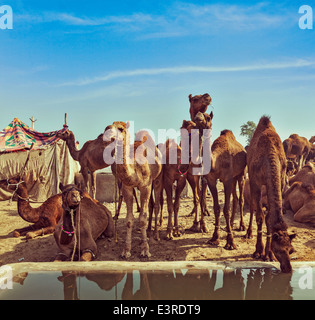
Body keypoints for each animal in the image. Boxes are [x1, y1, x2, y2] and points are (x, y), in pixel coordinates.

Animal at [103, 121, 163, 258]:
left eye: (121, 128)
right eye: (107, 127)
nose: (107, 133)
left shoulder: (146, 186)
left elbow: (142, 218)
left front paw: (145, 250)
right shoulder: (127, 187)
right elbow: (129, 220)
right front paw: (126, 250)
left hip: (157, 180)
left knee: (156, 205)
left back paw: (155, 235)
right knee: (151, 205)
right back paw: (148, 231)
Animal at [248, 115, 298, 272]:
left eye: (291, 250)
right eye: (279, 250)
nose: (288, 269)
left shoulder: (281, 181)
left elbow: (269, 217)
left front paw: (268, 255)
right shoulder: (256, 182)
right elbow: (259, 217)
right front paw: (258, 251)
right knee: (252, 207)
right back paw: (248, 233)